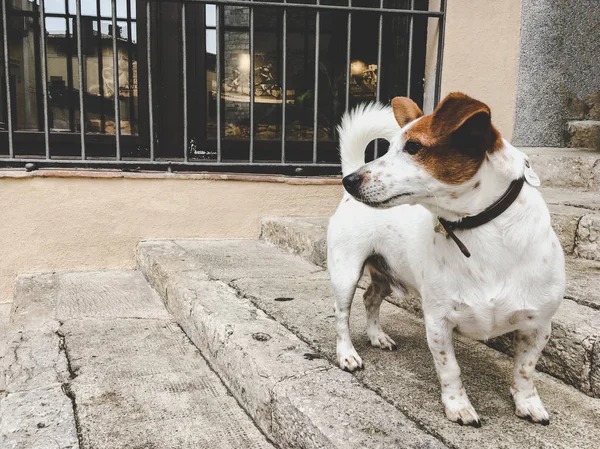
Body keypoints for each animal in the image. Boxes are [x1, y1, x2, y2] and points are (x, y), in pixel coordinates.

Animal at [328, 93, 568, 426]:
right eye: (389, 148)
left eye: (413, 147)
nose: (349, 181)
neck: (480, 230)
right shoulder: (438, 321)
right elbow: (450, 369)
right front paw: (458, 406)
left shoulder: (538, 326)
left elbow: (524, 369)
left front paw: (528, 402)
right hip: (345, 272)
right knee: (342, 315)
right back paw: (347, 354)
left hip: (387, 272)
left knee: (371, 298)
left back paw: (378, 336)